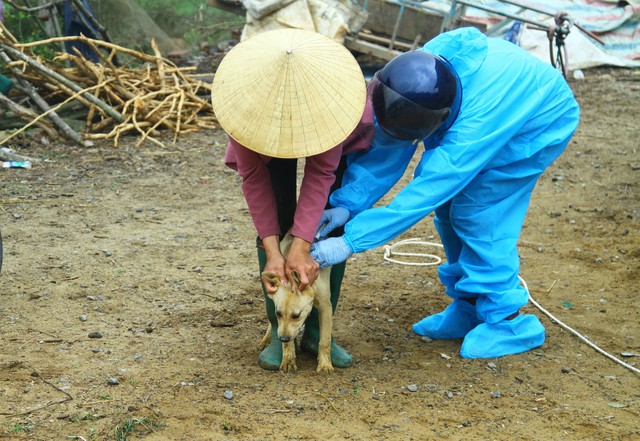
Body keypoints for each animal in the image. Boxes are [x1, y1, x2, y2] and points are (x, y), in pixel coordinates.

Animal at [258, 232, 332, 372]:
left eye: (296, 315)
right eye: (278, 313)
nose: (283, 339)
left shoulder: (325, 306)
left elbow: (325, 340)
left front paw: (325, 364)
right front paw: (288, 359)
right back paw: (266, 339)